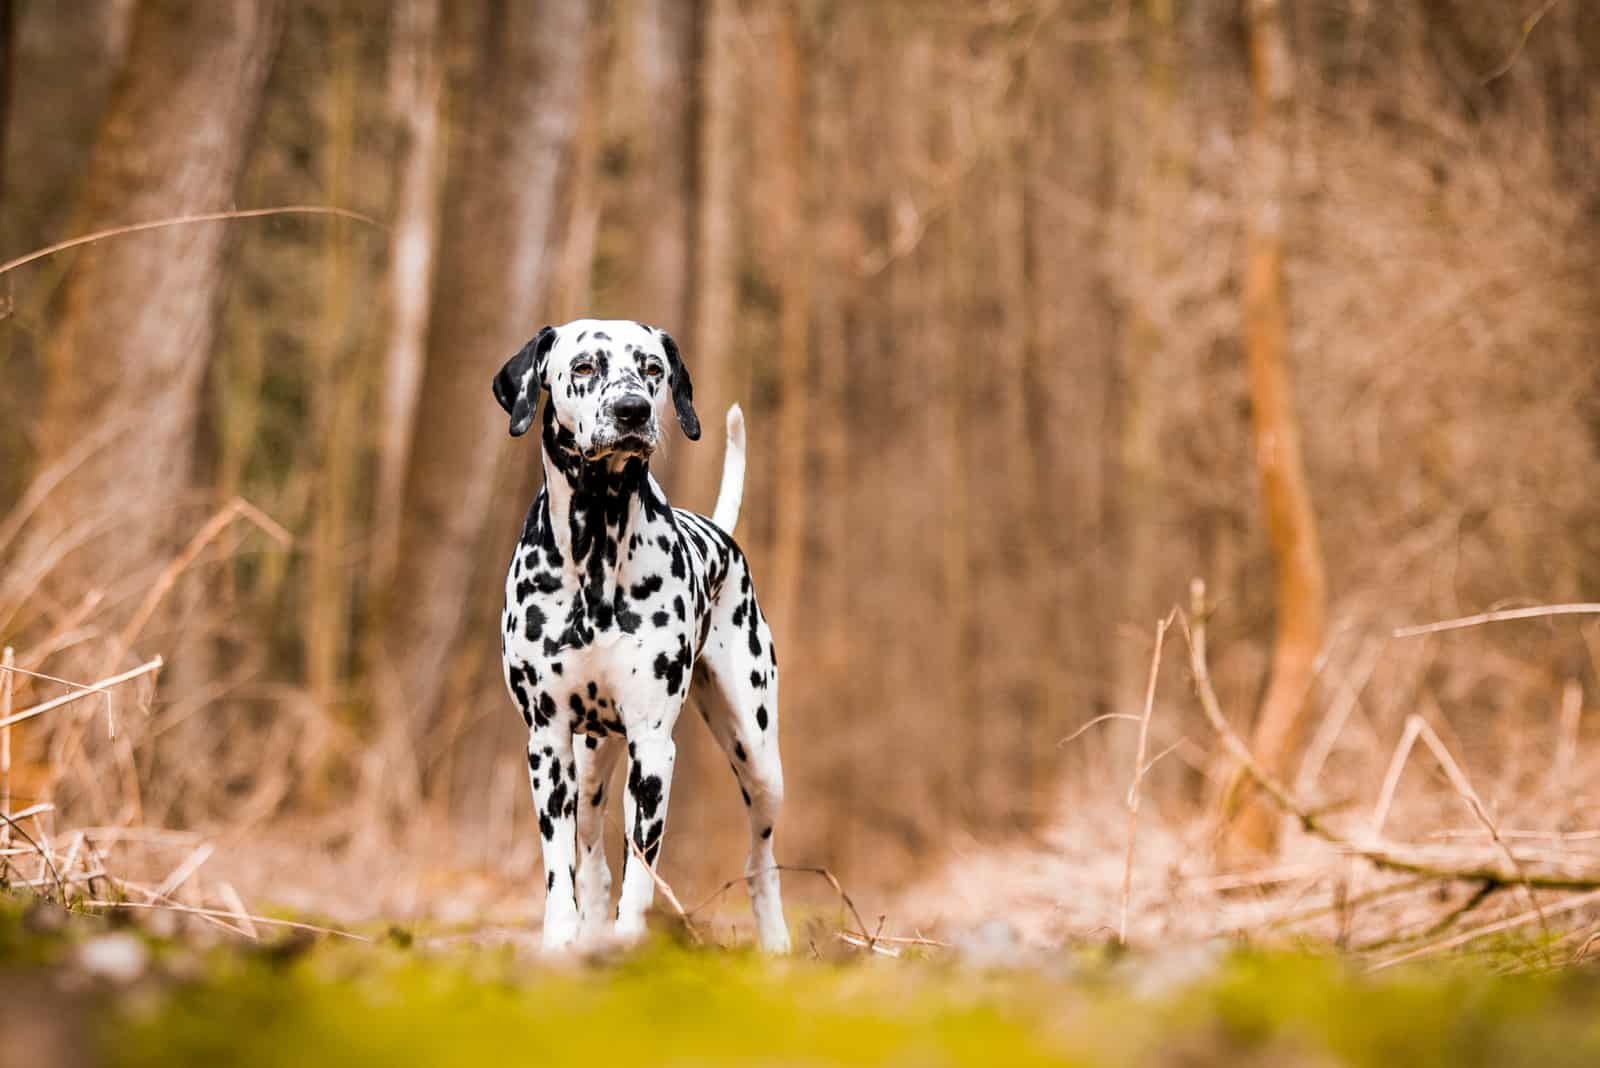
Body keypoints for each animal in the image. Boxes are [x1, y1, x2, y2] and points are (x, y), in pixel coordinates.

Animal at [486, 316, 787, 952]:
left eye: (652, 368)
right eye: (583, 367)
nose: (633, 409)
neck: (596, 548)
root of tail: (720, 532)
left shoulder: (652, 748)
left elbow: (641, 873)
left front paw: (628, 945)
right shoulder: (547, 744)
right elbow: (561, 868)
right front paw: (561, 943)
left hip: (758, 755)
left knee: (761, 860)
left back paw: (775, 944)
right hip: (589, 765)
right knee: (594, 859)